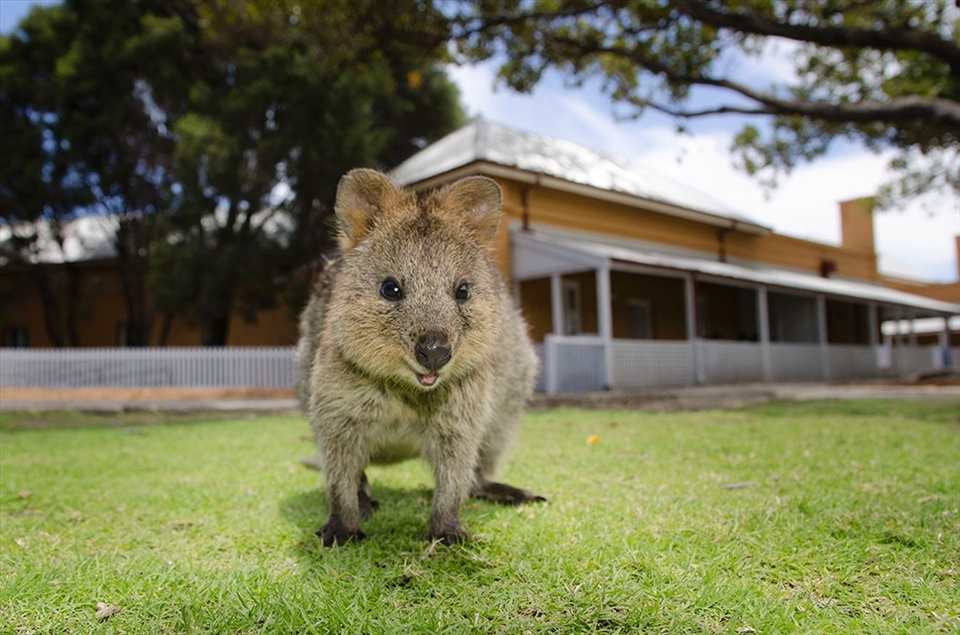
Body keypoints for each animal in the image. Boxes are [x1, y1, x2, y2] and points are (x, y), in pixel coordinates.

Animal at [296, 168, 544, 546]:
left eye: (463, 291)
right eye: (389, 288)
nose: (435, 353)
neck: (408, 390)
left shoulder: (462, 416)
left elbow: (454, 475)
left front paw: (446, 530)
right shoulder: (334, 408)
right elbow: (339, 473)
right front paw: (342, 526)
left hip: (511, 395)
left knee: (477, 471)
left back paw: (501, 490)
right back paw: (364, 498)